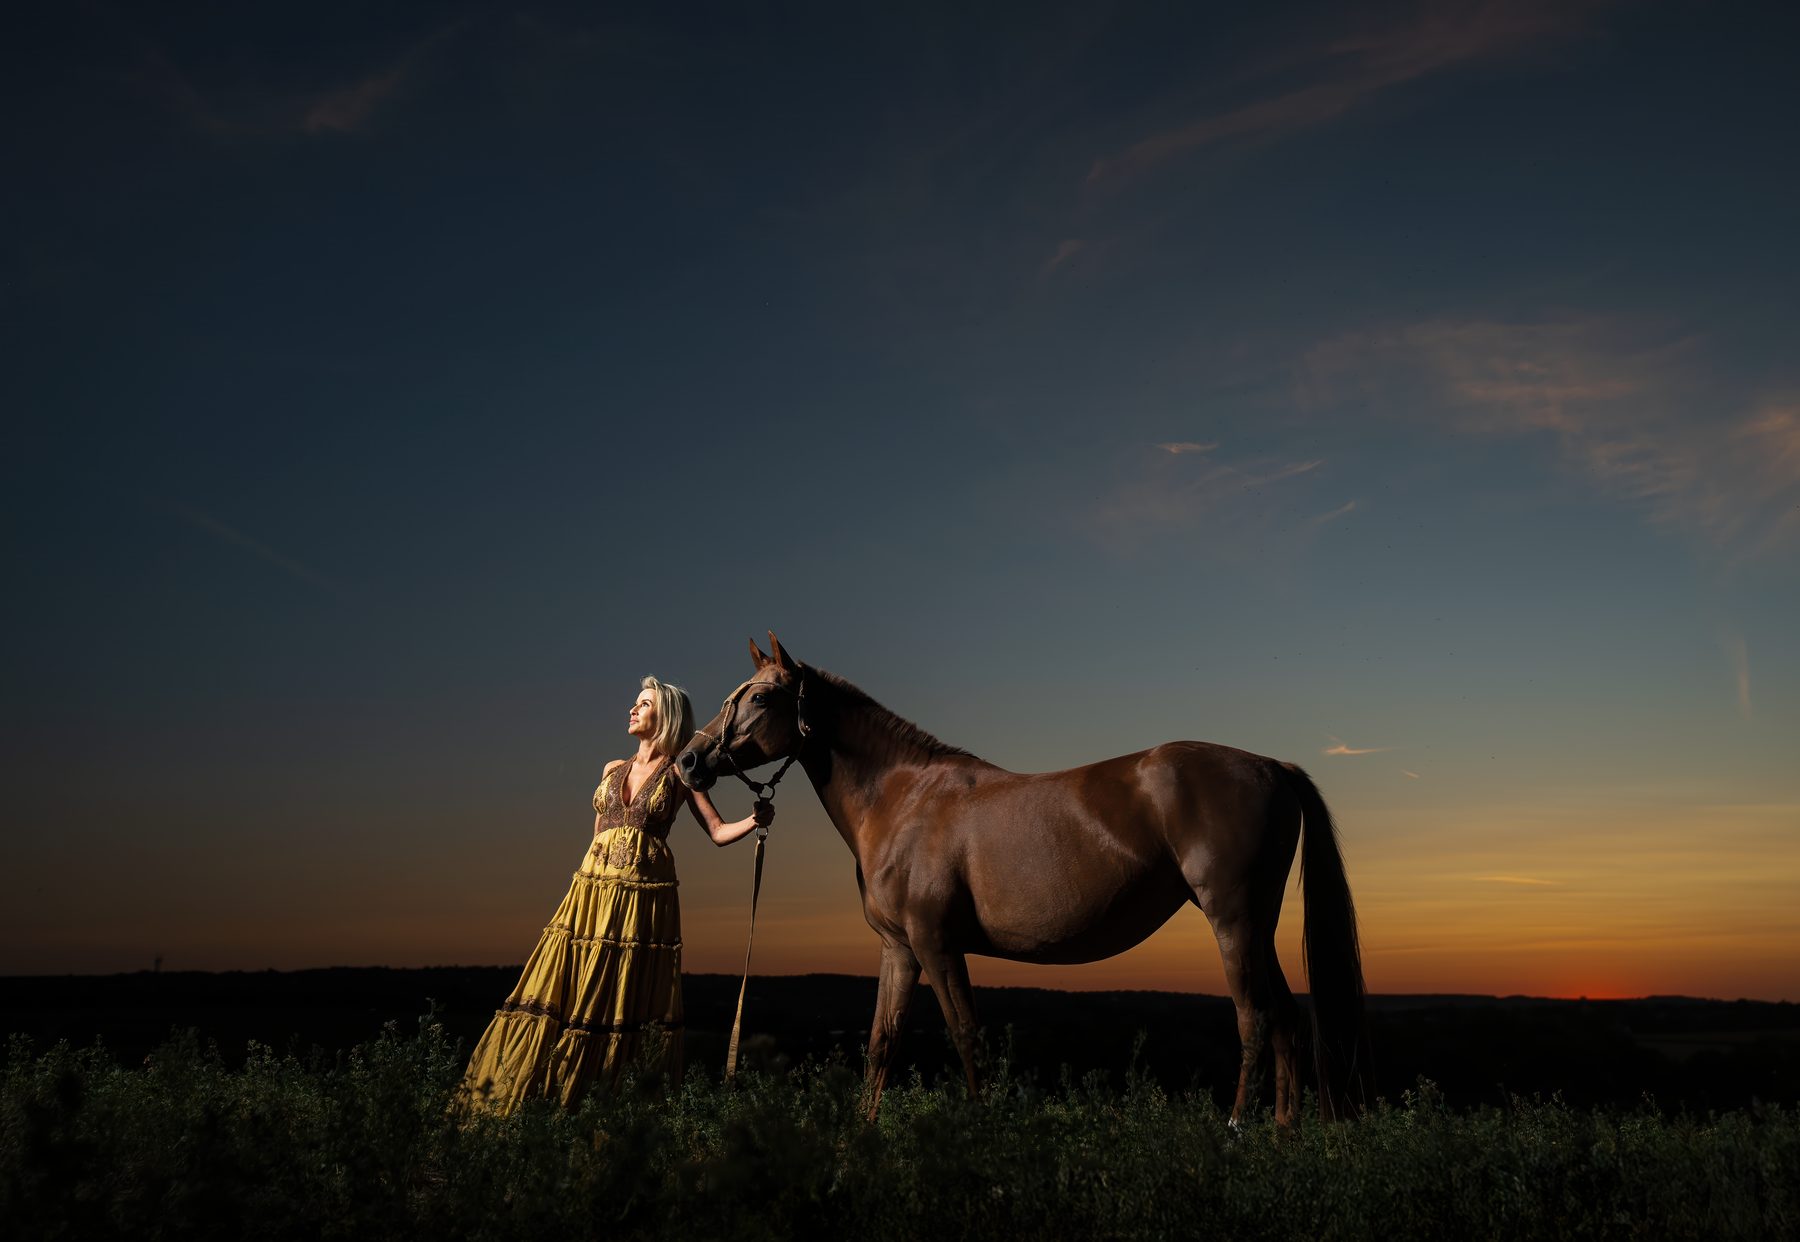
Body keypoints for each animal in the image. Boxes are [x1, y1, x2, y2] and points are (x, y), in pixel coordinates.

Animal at [676, 633, 1367, 1126]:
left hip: (1232, 922)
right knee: (1286, 1019)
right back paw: (1282, 1134)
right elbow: (882, 1044)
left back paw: (1237, 1130)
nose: (688, 760)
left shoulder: (937, 945)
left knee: (1254, 1018)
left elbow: (966, 1039)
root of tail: (1271, 766)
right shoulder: (899, 949)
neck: (904, 798)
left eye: (759, 697)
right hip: (1257, 927)